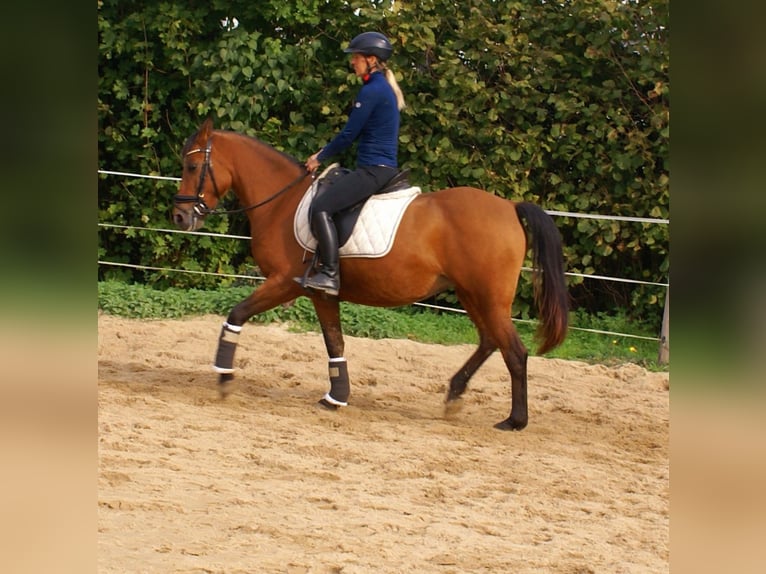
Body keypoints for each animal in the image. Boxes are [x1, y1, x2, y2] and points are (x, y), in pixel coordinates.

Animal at [174, 118, 568, 432]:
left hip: (487, 296)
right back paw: (455, 394)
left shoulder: (284, 283)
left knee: (514, 351)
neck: (282, 203)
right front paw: (336, 396)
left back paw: (514, 420)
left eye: (192, 166)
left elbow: (237, 313)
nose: (179, 216)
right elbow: (335, 343)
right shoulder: (321, 293)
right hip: (471, 294)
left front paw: (224, 375)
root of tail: (510, 207)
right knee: (489, 341)